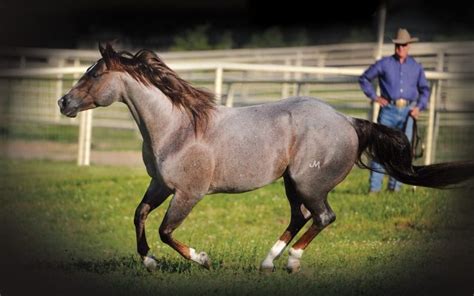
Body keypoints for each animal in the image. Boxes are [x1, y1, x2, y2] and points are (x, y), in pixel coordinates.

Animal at [57, 44, 472, 272]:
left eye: (93, 75)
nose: (63, 102)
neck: (177, 128)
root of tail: (348, 121)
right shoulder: (160, 184)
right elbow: (140, 215)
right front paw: (148, 261)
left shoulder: (188, 193)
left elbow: (166, 231)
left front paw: (203, 258)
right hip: (290, 182)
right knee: (299, 217)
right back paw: (268, 261)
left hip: (308, 183)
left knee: (323, 217)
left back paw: (291, 262)